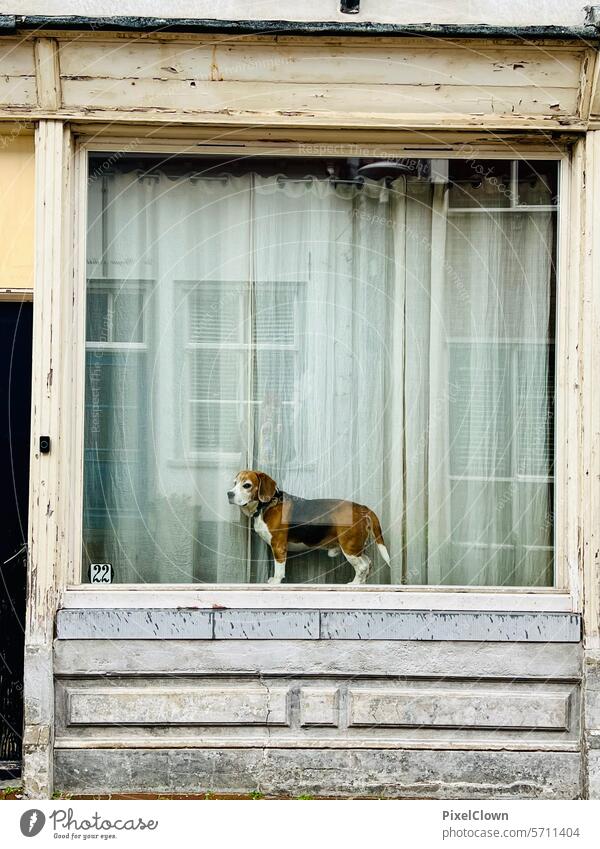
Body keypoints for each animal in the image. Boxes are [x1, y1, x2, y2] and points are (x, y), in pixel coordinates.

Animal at [227, 470, 392, 584]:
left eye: (246, 485)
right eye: (234, 483)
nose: (229, 493)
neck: (266, 506)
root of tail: (361, 508)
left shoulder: (278, 546)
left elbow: (279, 568)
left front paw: (275, 581)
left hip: (349, 547)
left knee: (362, 566)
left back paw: (354, 584)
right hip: (356, 547)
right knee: (368, 563)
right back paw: (361, 583)